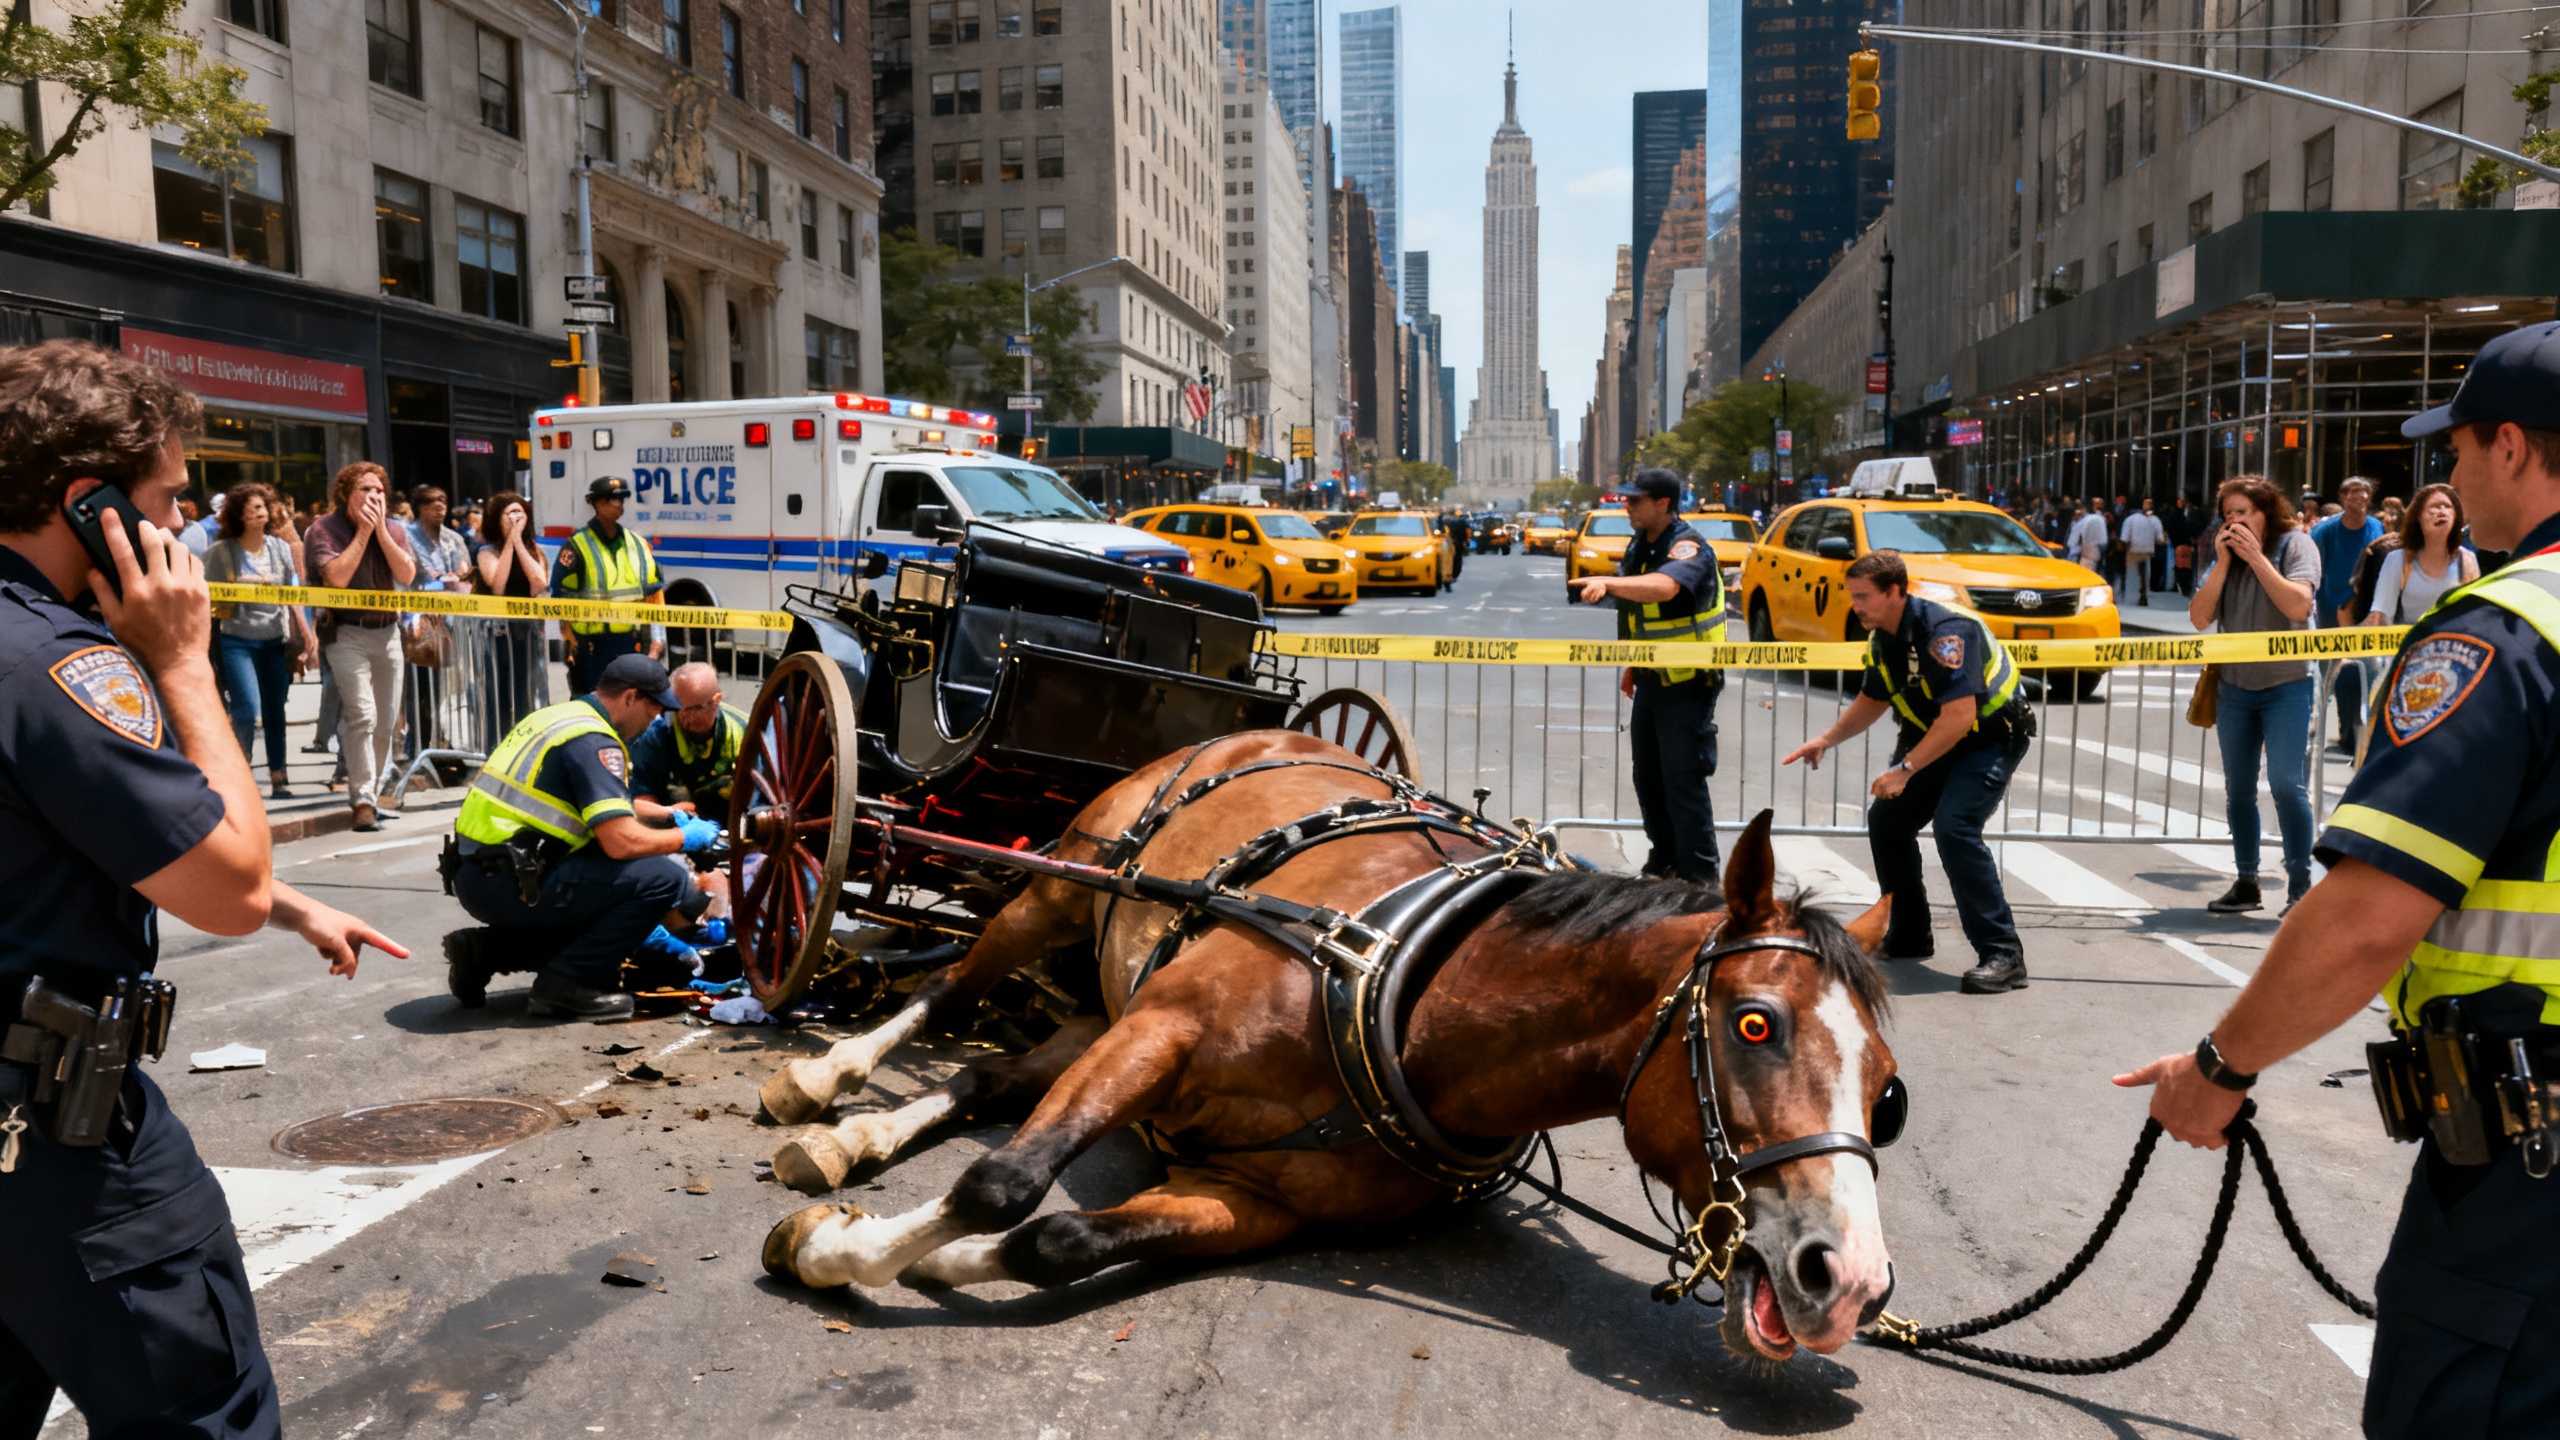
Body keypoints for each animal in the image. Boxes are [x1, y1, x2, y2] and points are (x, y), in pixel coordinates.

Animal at [754, 732, 1901, 1359]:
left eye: (1887, 1097)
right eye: (1755, 1024)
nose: (1848, 1281)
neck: (1403, 996)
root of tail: (1260, 730)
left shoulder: (1256, 1201)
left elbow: (1056, 1239)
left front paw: (933, 1254)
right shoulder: (1165, 1029)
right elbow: (1002, 1184)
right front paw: (841, 1251)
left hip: (1102, 1003)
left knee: (994, 1071)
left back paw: (854, 1144)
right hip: (1067, 885)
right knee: (948, 994)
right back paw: (824, 1079)